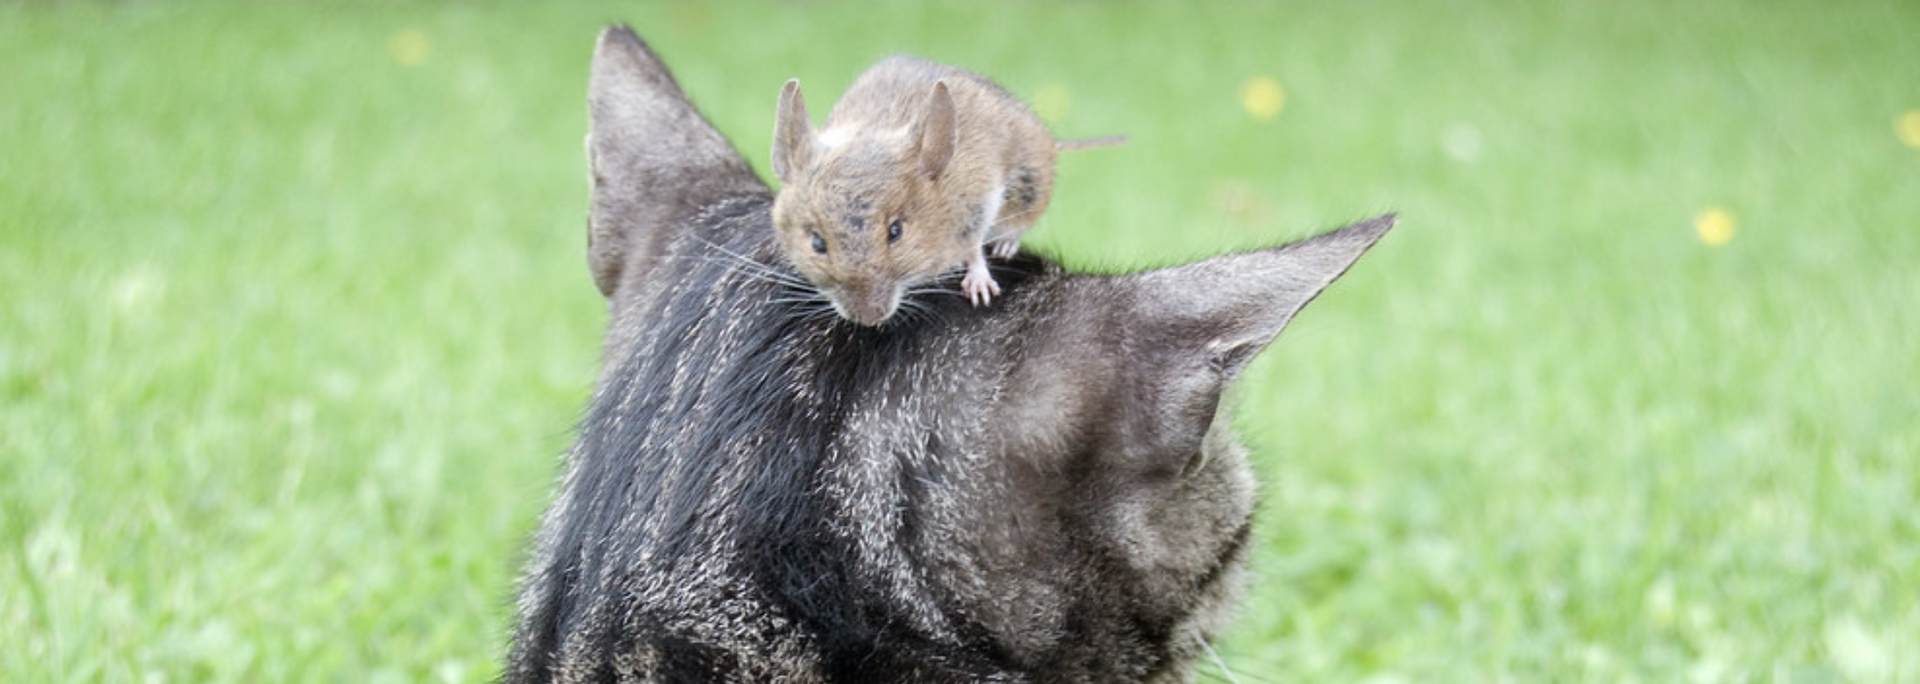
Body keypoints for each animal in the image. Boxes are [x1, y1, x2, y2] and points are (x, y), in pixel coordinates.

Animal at [769, 57, 1116, 327]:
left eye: (896, 231)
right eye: (817, 243)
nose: (870, 318)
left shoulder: (980, 199)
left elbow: (974, 247)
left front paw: (980, 287)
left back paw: (1005, 244)